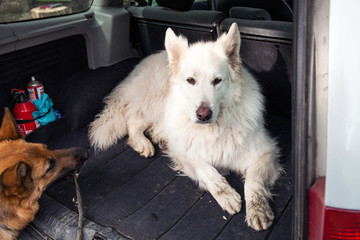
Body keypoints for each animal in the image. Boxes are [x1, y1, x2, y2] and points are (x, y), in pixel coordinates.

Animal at [89, 23, 282, 232]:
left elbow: (254, 182)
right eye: (191, 80)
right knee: (132, 121)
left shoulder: (265, 152)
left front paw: (258, 210)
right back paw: (143, 143)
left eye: (217, 80)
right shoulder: (184, 151)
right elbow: (205, 169)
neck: (213, 129)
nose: (203, 114)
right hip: (154, 102)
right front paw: (226, 193)